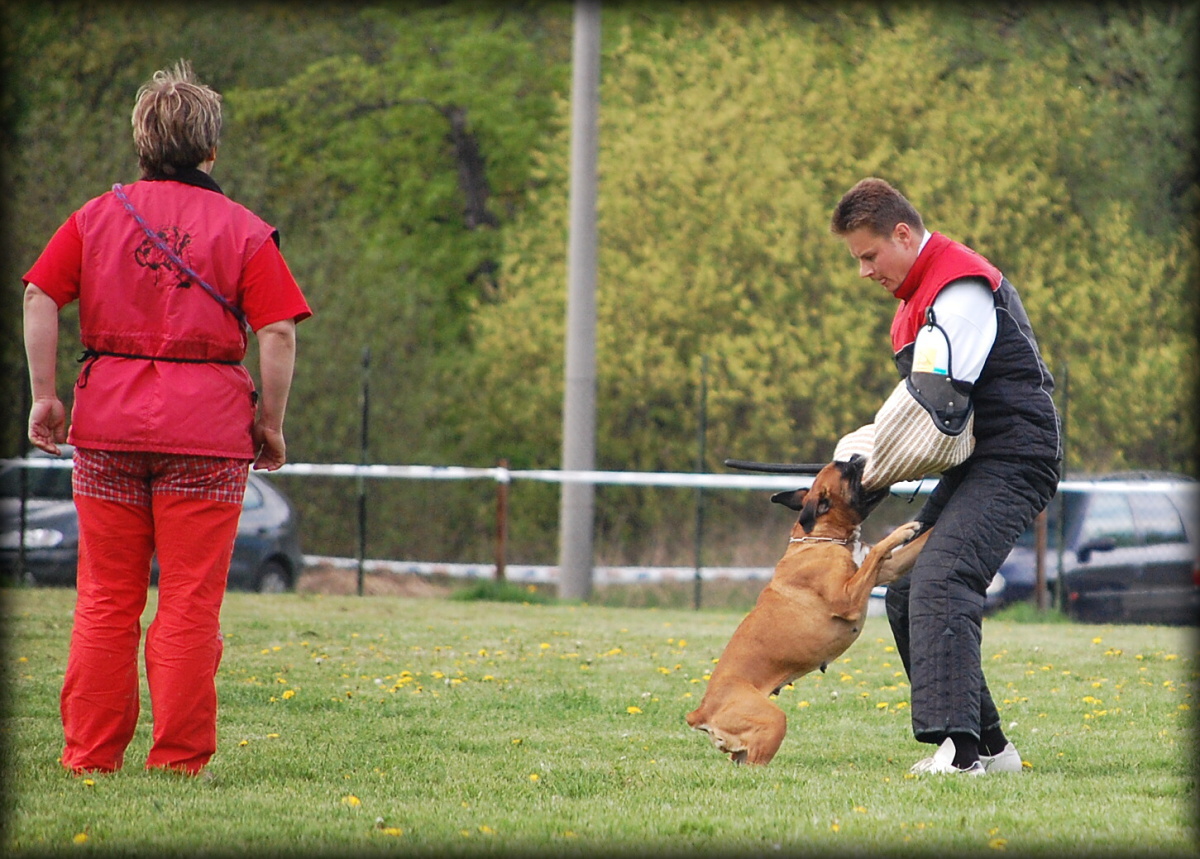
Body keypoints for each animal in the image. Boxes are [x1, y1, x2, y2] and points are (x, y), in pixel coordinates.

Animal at [686, 455, 926, 763]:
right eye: (849, 471)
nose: (858, 457)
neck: (822, 538)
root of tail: (702, 710)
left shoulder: (889, 569)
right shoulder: (848, 598)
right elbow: (877, 551)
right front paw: (903, 530)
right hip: (772, 721)